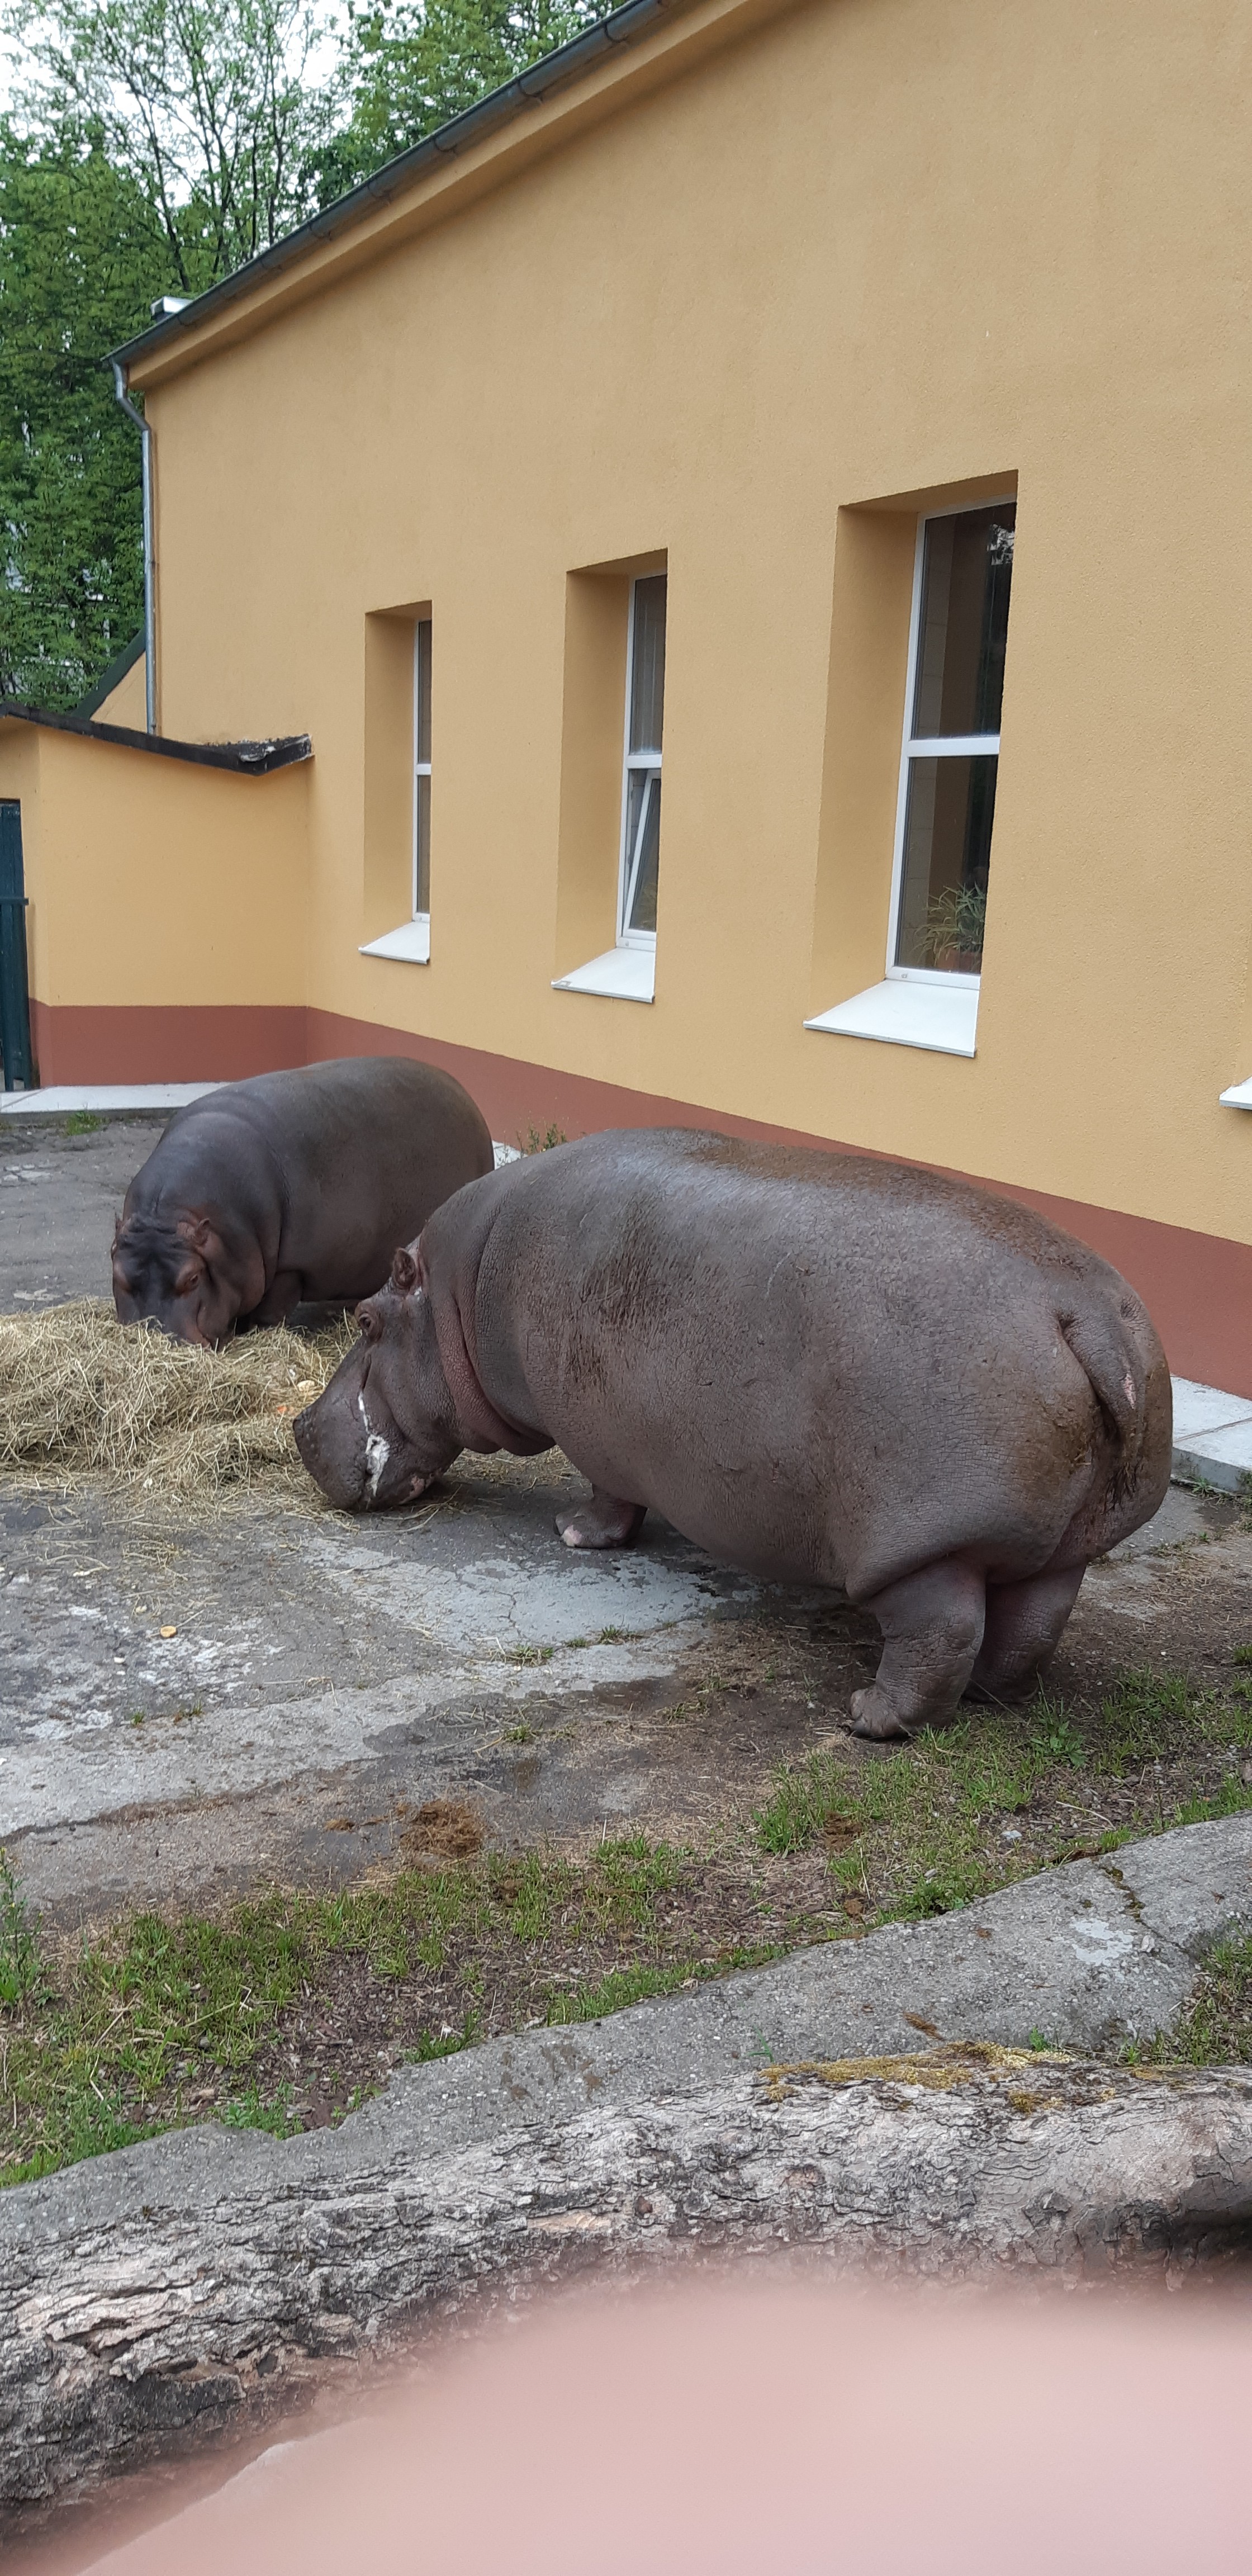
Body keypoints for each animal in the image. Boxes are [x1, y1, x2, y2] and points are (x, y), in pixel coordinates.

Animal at [112, 1057, 494, 1345]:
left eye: (192, 1279)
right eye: (117, 1274)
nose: (161, 1341)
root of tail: (464, 1093)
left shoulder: (291, 1268)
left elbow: (268, 1312)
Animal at [292, 1130, 1172, 1738]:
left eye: (365, 1320)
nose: (299, 1426)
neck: (459, 1292)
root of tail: (1082, 1312)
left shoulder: (596, 1433)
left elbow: (610, 1497)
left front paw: (573, 1532)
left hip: (922, 1545)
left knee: (941, 1631)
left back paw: (867, 1716)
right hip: (1067, 1540)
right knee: (1031, 1622)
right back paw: (993, 1693)